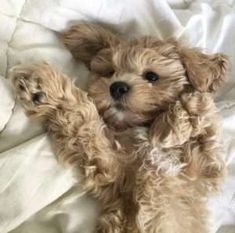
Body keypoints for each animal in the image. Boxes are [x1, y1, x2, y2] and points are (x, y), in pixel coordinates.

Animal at [10, 22, 229, 233]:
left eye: (151, 76)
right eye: (110, 72)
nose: (116, 86)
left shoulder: (203, 169)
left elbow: (203, 103)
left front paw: (169, 127)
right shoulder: (112, 166)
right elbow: (83, 120)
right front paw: (43, 88)